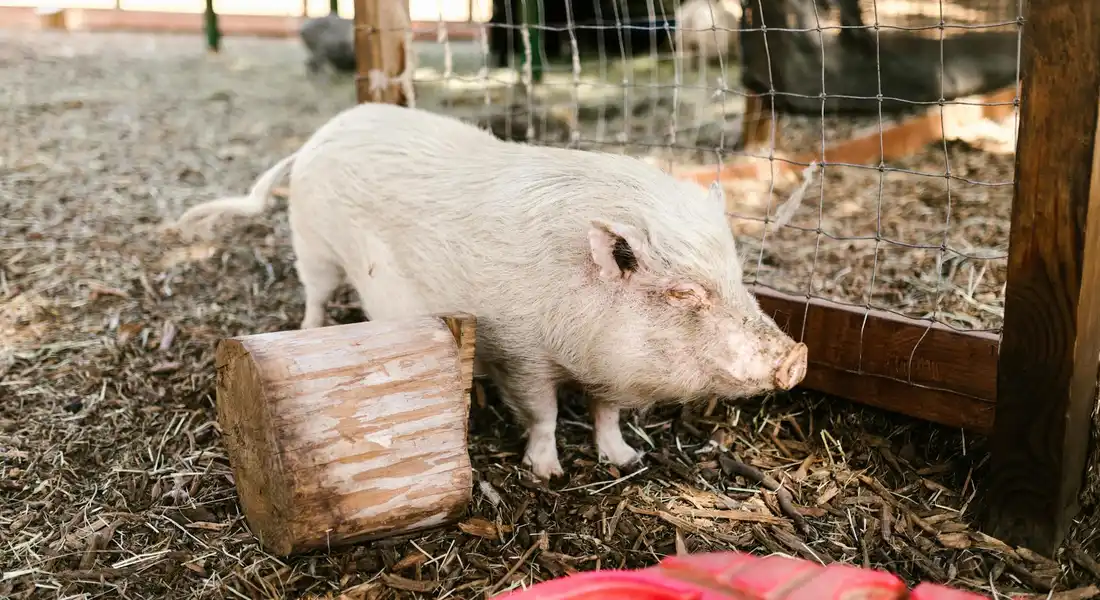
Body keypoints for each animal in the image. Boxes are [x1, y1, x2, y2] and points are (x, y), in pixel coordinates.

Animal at [171, 103, 808, 481]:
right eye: (681, 294)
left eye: (737, 276)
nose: (797, 358)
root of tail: (316, 137)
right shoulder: (518, 354)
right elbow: (543, 412)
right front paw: (549, 473)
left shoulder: (608, 370)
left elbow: (604, 414)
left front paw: (627, 458)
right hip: (311, 242)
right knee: (314, 294)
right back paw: (309, 330)